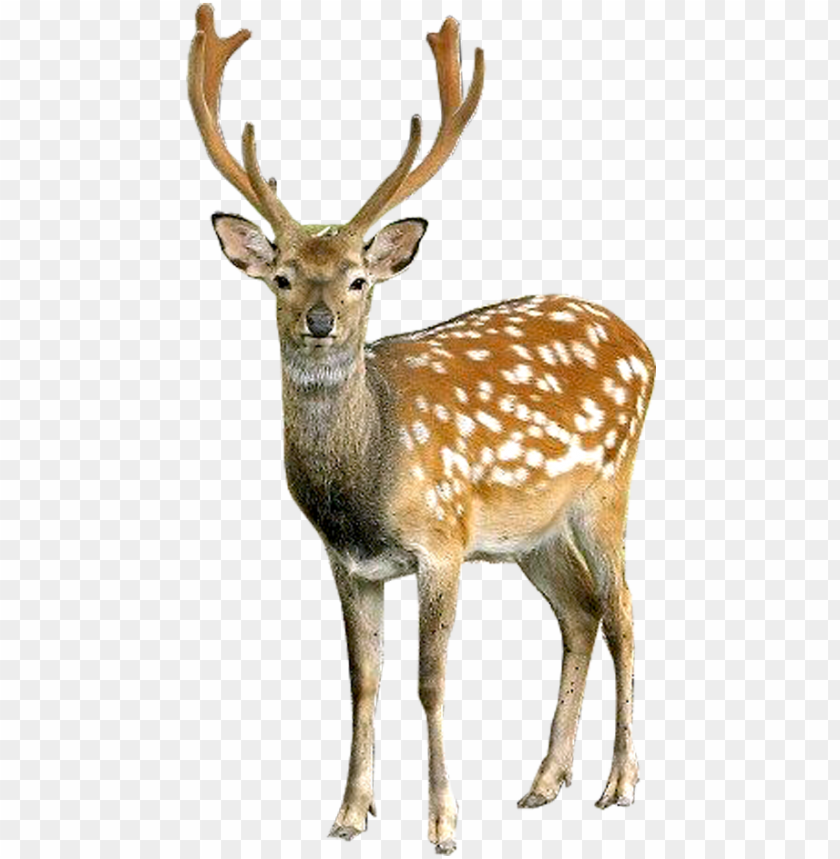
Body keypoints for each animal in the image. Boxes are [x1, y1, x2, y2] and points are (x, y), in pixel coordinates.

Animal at [188, 4, 654, 854]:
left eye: (358, 279)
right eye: (282, 276)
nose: (318, 321)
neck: (365, 479)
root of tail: (644, 345)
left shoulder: (442, 539)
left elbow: (430, 681)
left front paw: (442, 821)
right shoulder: (350, 562)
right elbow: (362, 679)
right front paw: (349, 811)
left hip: (607, 485)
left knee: (625, 612)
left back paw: (619, 782)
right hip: (530, 533)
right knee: (580, 612)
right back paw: (544, 781)